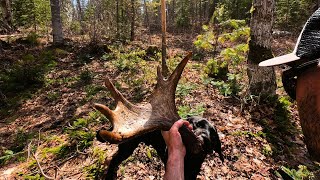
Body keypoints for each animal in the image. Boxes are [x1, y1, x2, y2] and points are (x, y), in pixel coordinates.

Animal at [96, 116, 224, 179]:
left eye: (213, 134)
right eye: (196, 125)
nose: (204, 138)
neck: (191, 159)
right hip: (127, 148)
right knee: (113, 160)